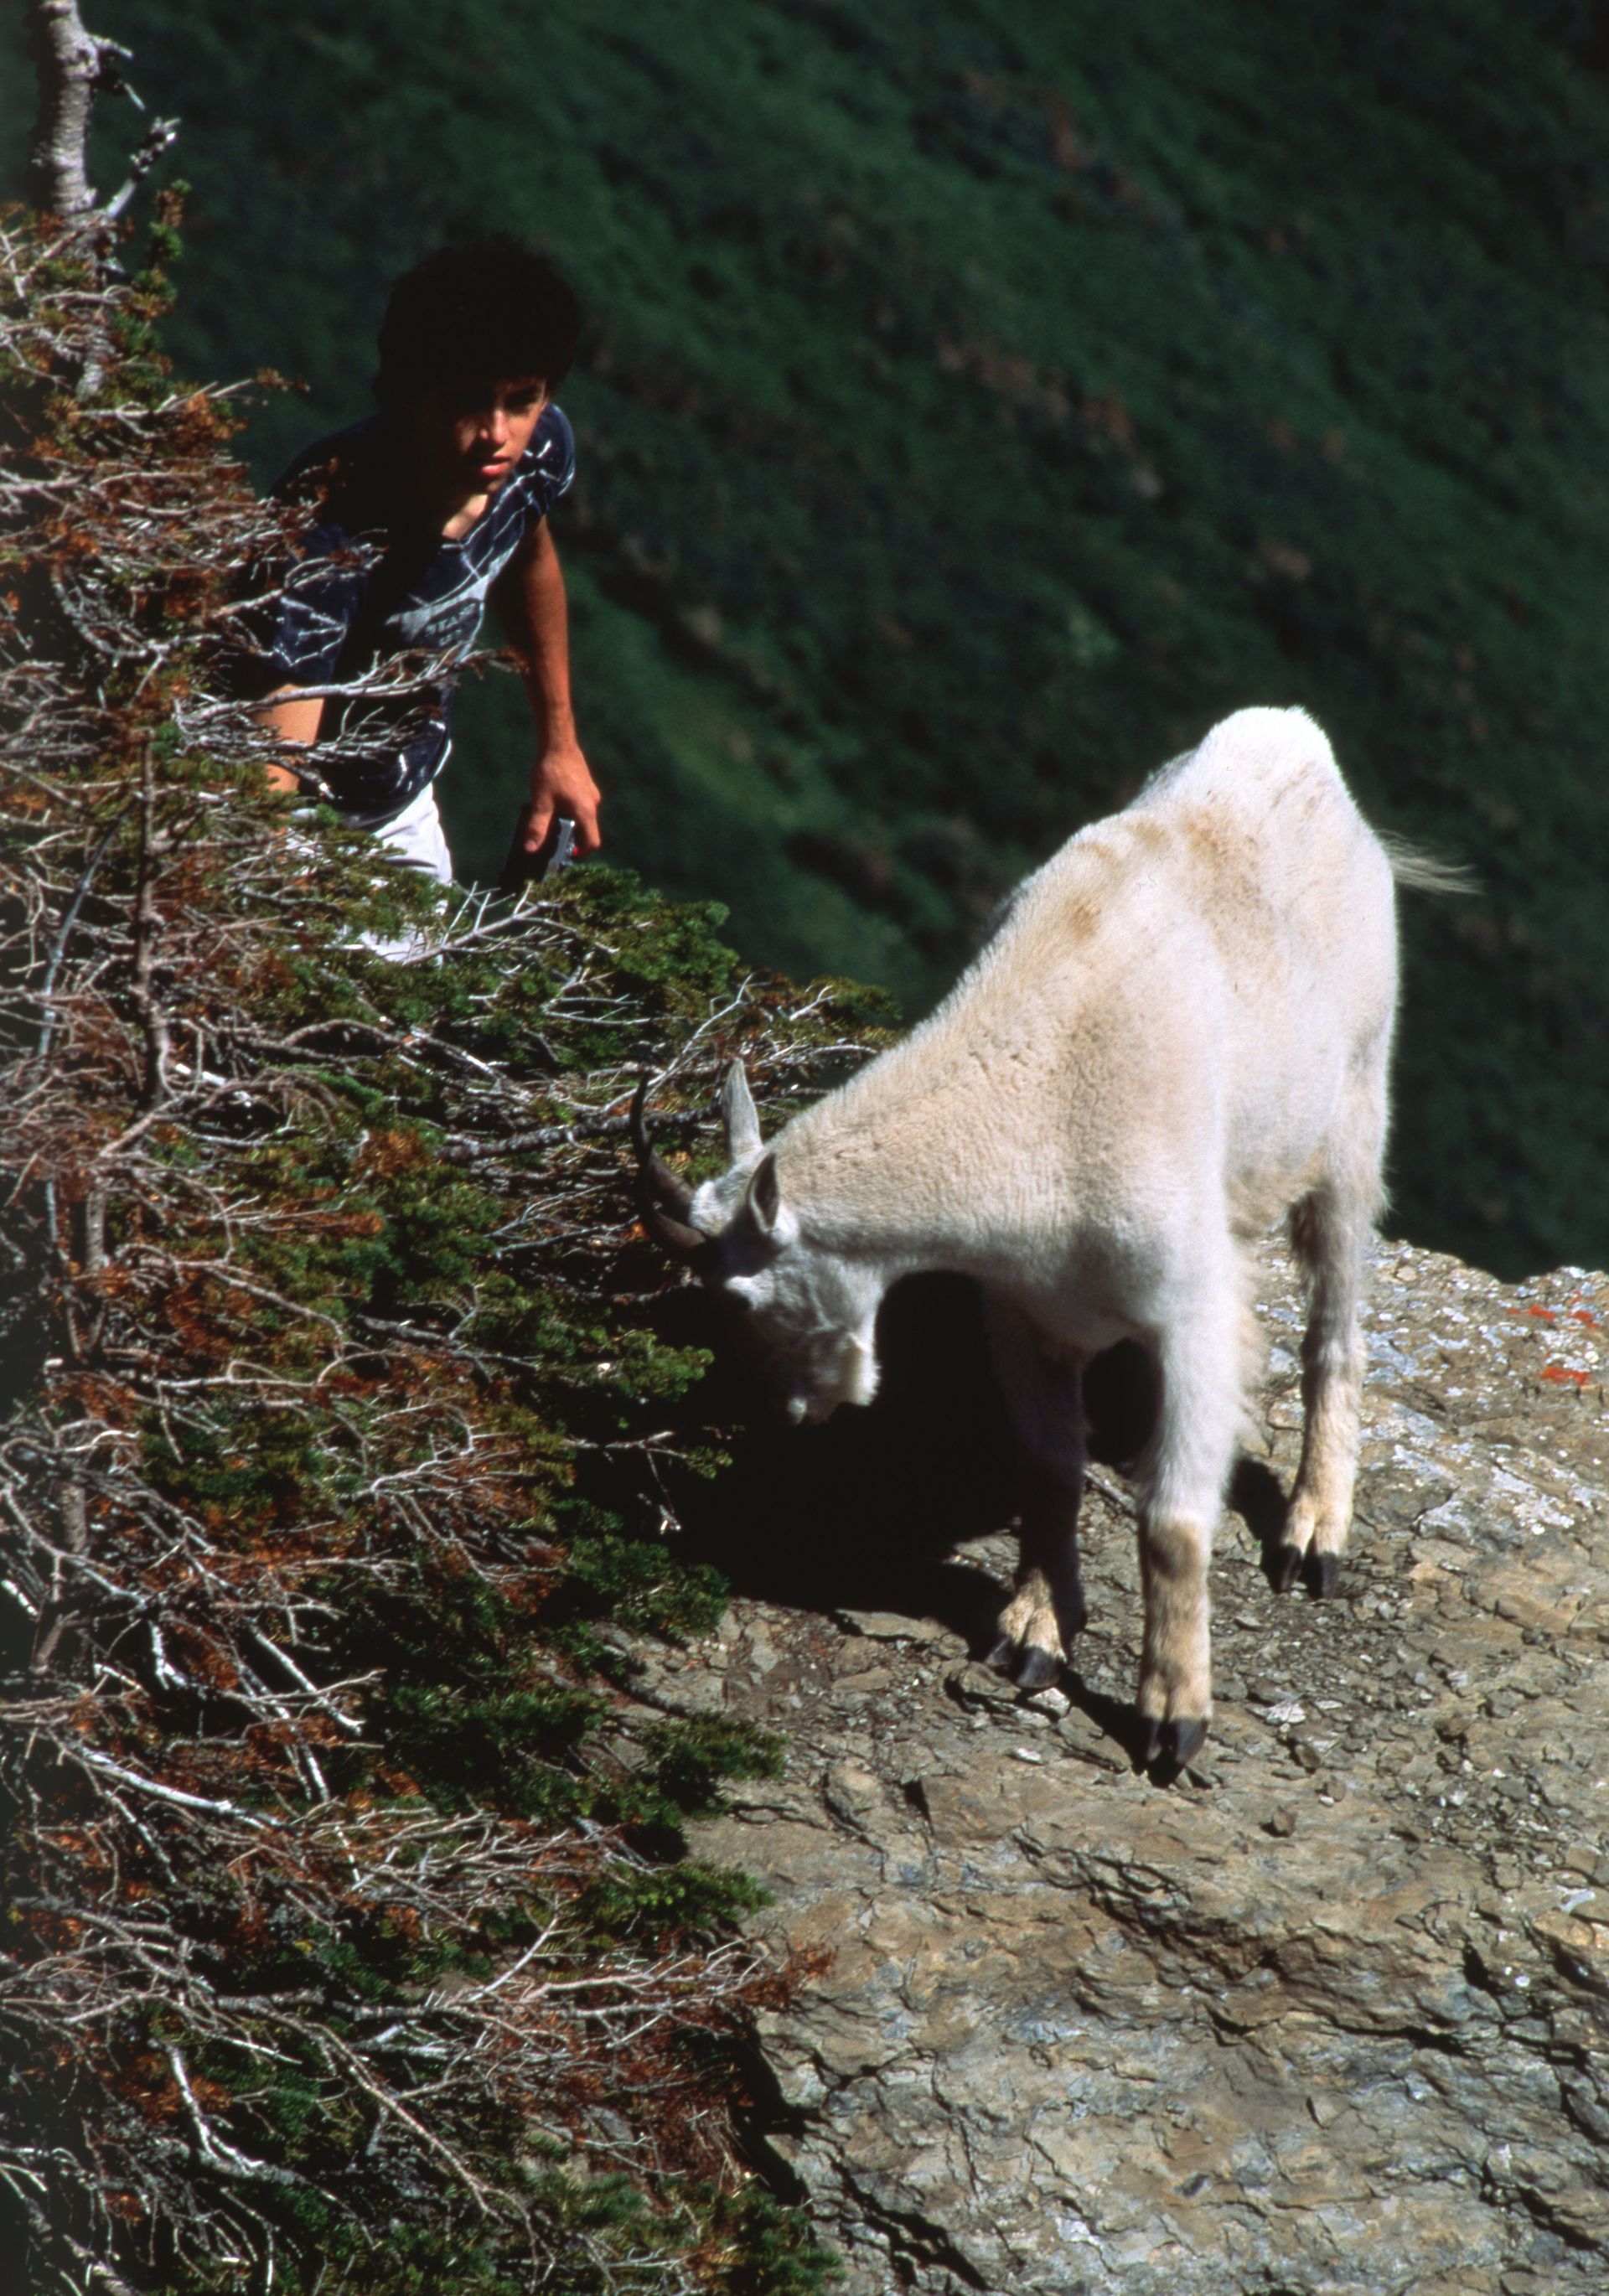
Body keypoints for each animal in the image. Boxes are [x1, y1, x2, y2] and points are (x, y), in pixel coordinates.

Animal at [637, 707, 1448, 1773]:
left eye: (743, 1297)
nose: (791, 1410)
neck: (1042, 1103)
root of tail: (1306, 748)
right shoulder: (1025, 1312)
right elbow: (1048, 1470)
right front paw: (1032, 1634)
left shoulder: (1191, 1310)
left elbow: (1172, 1522)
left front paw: (1172, 1718)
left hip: (1356, 1104)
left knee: (1337, 1319)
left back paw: (1314, 1532)